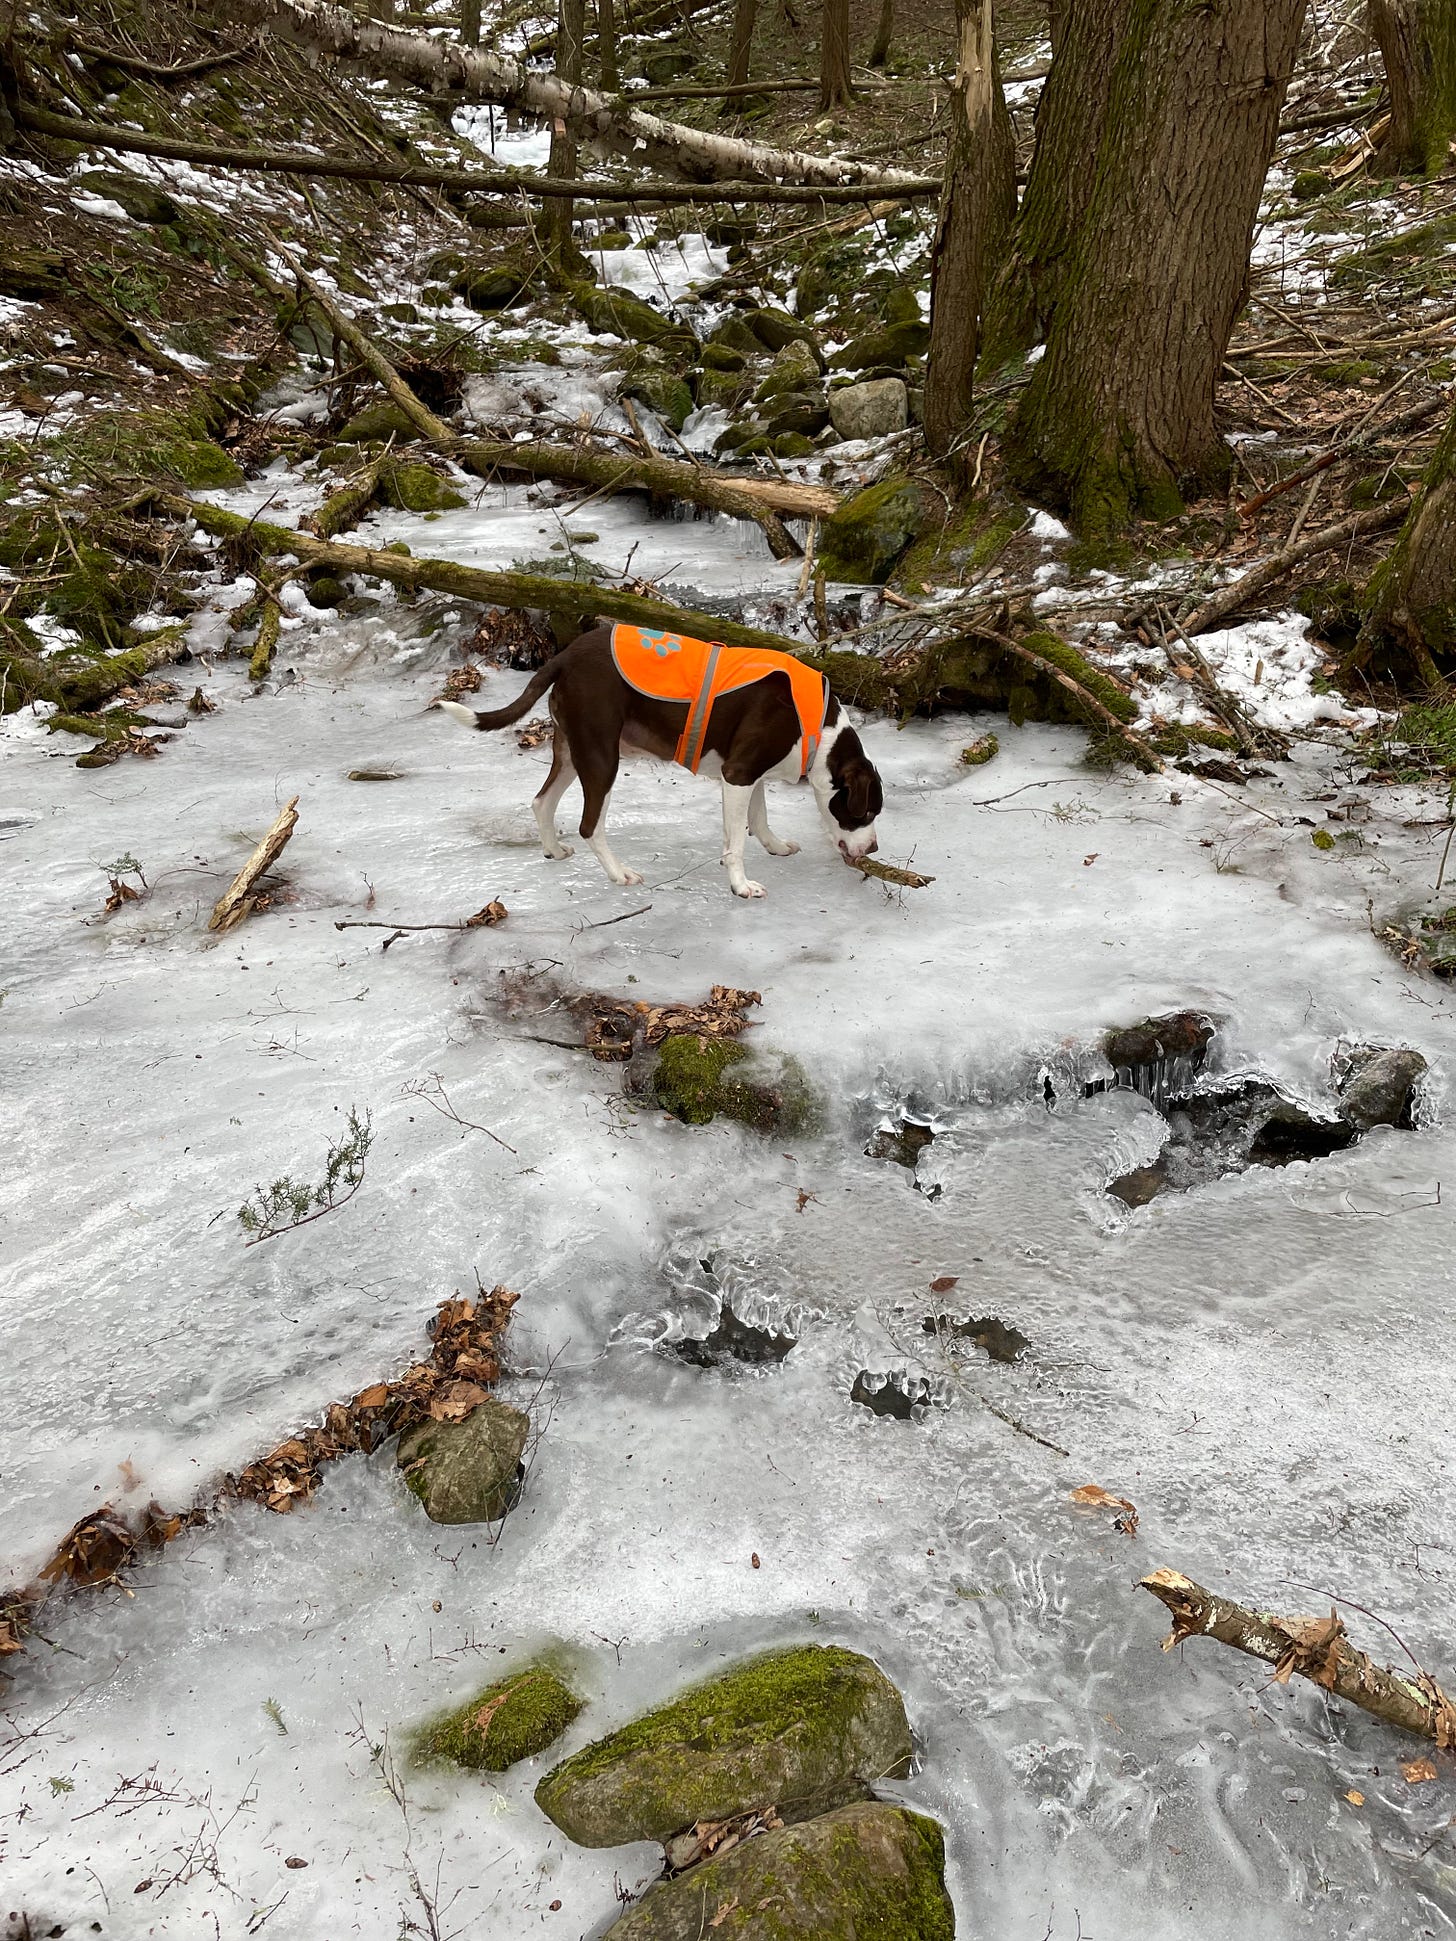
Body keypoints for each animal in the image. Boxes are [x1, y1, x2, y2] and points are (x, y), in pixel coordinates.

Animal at [438, 625, 885, 896]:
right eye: (865, 813)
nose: (874, 848)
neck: (818, 728)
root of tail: (565, 656)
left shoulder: (749, 774)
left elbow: (758, 819)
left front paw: (775, 846)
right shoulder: (738, 773)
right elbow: (737, 842)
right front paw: (741, 885)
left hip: (571, 750)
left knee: (541, 802)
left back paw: (553, 849)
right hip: (602, 758)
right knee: (588, 826)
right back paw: (618, 873)